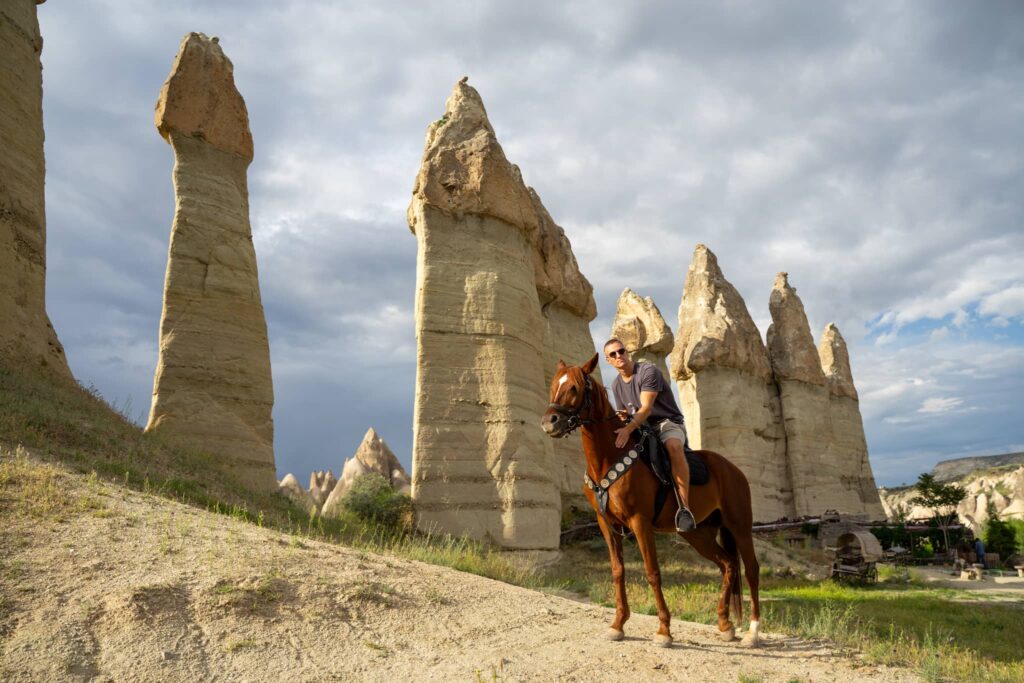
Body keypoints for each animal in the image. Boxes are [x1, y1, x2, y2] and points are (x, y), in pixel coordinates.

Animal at [541, 353, 762, 648]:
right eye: (554, 385)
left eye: (575, 387)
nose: (550, 422)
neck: (609, 456)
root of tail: (732, 469)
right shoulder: (607, 525)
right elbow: (618, 570)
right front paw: (618, 624)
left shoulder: (640, 523)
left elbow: (652, 572)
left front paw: (664, 630)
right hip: (698, 534)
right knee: (728, 565)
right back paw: (725, 624)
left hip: (740, 527)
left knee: (751, 570)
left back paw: (753, 631)